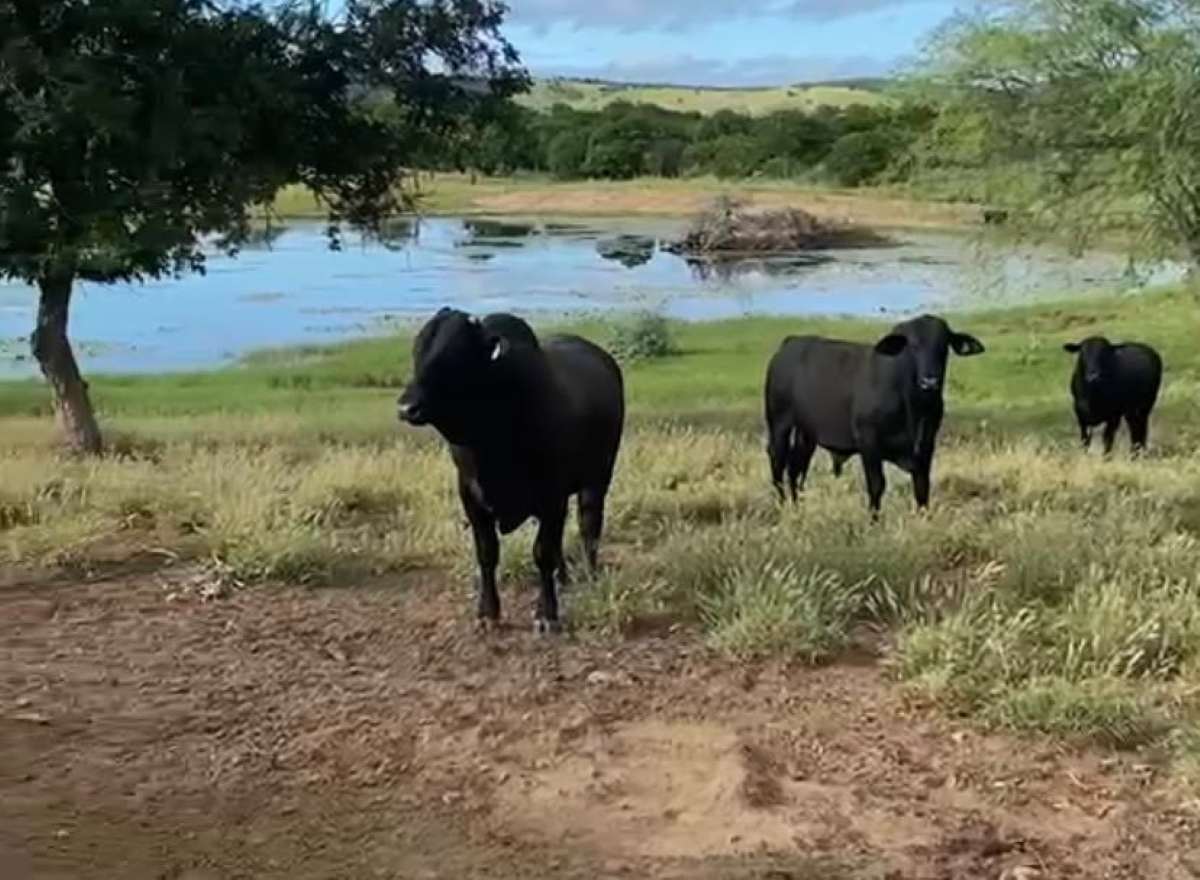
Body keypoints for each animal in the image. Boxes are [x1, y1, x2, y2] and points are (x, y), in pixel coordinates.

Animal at [397, 308, 625, 633]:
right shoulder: (471, 497)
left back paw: (590, 576)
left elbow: (542, 552)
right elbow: (487, 553)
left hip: (597, 479)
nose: (407, 408)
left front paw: (546, 614)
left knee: (588, 527)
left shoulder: (551, 495)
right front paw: (488, 612)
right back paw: (563, 577)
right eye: (418, 351)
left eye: (455, 354)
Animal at [764, 314, 985, 514]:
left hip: (806, 433)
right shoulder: (869, 443)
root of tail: (792, 342)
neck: (913, 407)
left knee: (796, 468)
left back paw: (797, 506)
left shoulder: (926, 446)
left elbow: (922, 490)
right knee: (778, 463)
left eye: (943, 345)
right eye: (912, 345)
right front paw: (874, 522)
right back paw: (782, 505)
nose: (929, 382)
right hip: (779, 423)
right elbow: (877, 486)